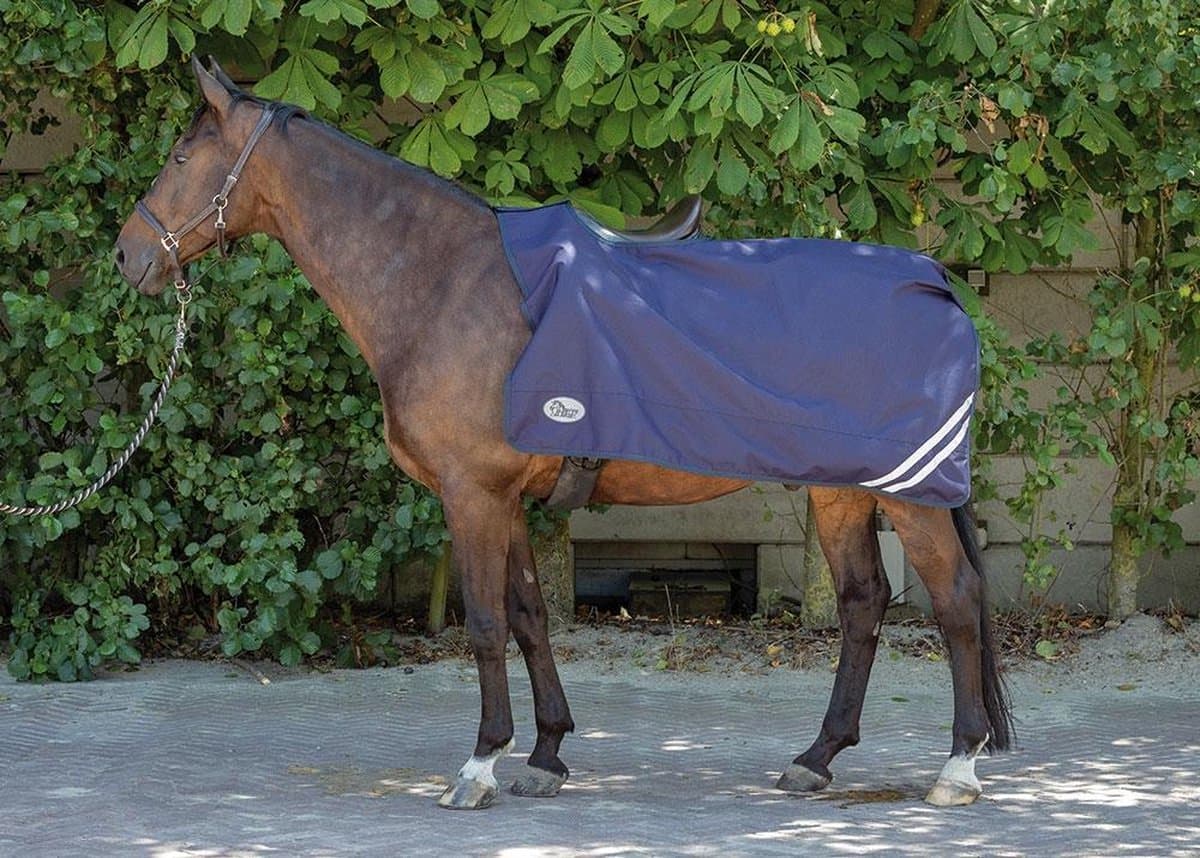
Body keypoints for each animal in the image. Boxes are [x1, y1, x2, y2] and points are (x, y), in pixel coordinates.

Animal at [115, 58, 1013, 811]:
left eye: (183, 158)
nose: (128, 257)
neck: (443, 284)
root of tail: (938, 286)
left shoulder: (472, 494)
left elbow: (483, 623)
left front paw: (481, 763)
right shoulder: (505, 497)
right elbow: (528, 616)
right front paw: (546, 754)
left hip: (910, 498)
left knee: (956, 600)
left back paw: (958, 766)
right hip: (842, 492)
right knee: (863, 605)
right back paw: (817, 757)